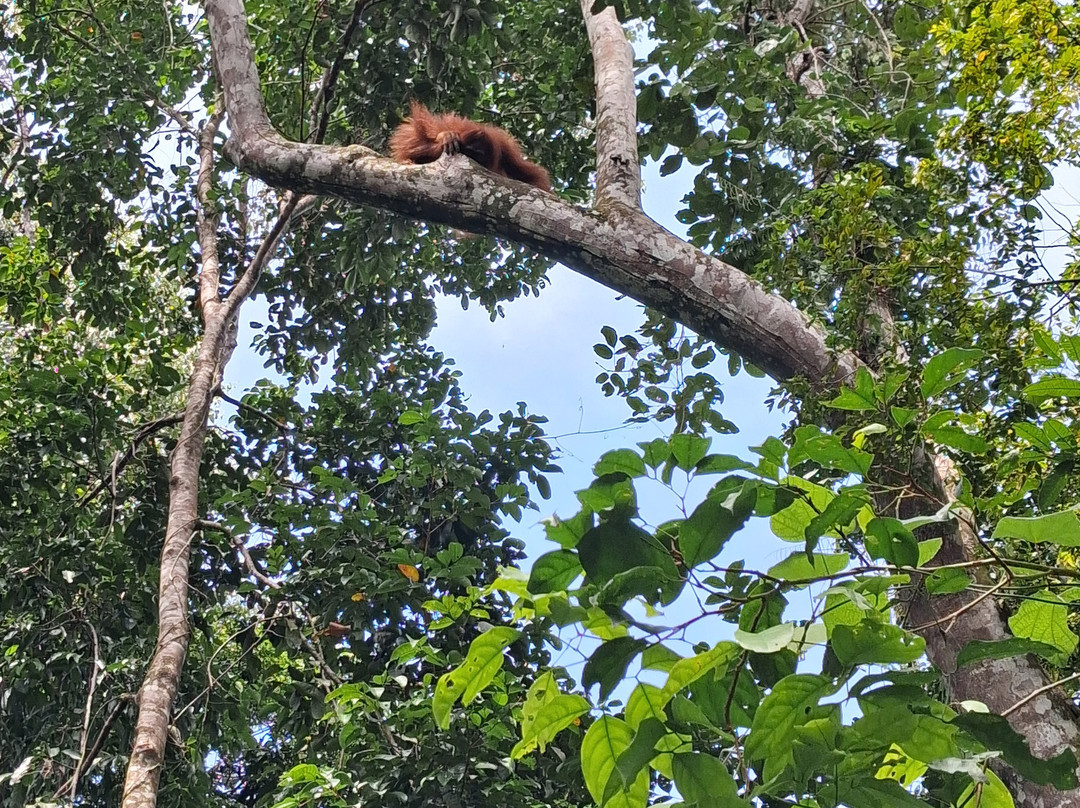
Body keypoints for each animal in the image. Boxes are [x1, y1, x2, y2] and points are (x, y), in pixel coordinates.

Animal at [389, 101, 550, 192]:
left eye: (479, 154)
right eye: (469, 152)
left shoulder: (507, 153)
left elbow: (535, 180)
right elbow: (411, 140)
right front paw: (446, 137)